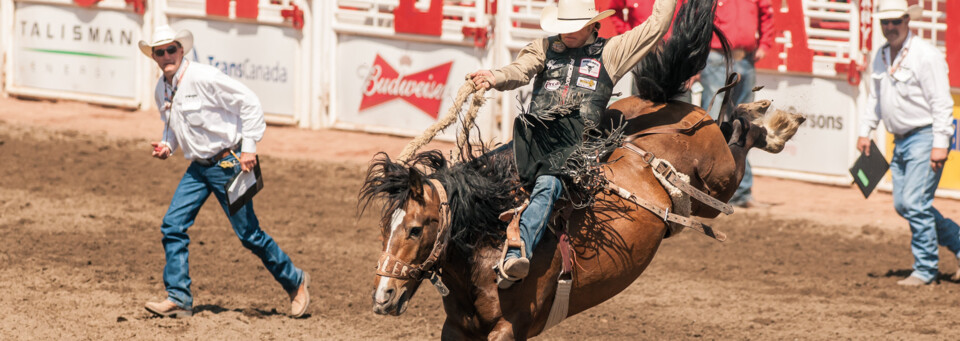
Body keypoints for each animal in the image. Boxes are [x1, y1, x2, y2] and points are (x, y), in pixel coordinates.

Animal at [358, 0, 804, 338]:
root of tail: (662, 103)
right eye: (384, 228)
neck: (486, 238)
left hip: (717, 183)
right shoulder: (457, 328)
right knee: (734, 128)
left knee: (740, 135)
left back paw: (775, 123)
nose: (382, 296)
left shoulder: (509, 328)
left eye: (416, 229)